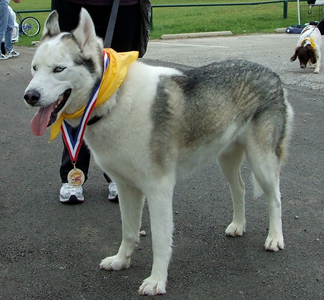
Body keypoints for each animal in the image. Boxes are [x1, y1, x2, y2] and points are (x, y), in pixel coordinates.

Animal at [24, 8, 294, 296]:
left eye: (59, 69)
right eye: (34, 68)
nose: (30, 96)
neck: (113, 96)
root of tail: (272, 73)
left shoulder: (158, 189)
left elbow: (161, 241)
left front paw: (157, 280)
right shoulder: (126, 188)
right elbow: (129, 231)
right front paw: (121, 261)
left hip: (262, 163)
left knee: (276, 198)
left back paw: (275, 238)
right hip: (227, 159)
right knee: (240, 189)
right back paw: (238, 226)